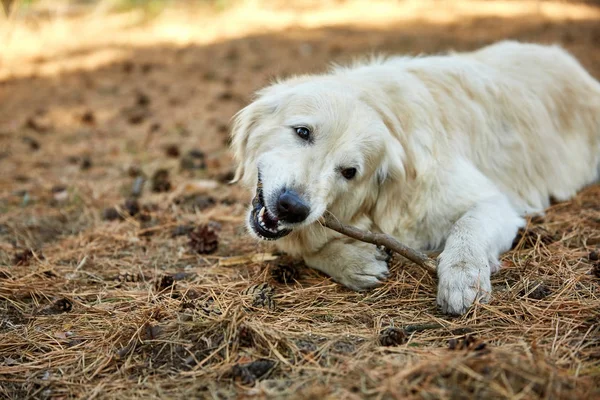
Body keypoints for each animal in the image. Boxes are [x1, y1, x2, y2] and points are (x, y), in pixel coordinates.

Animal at [229, 41, 600, 316]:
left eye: (349, 172)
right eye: (302, 132)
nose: (292, 207)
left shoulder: (494, 202)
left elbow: (467, 228)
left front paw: (462, 276)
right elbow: (305, 244)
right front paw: (351, 260)